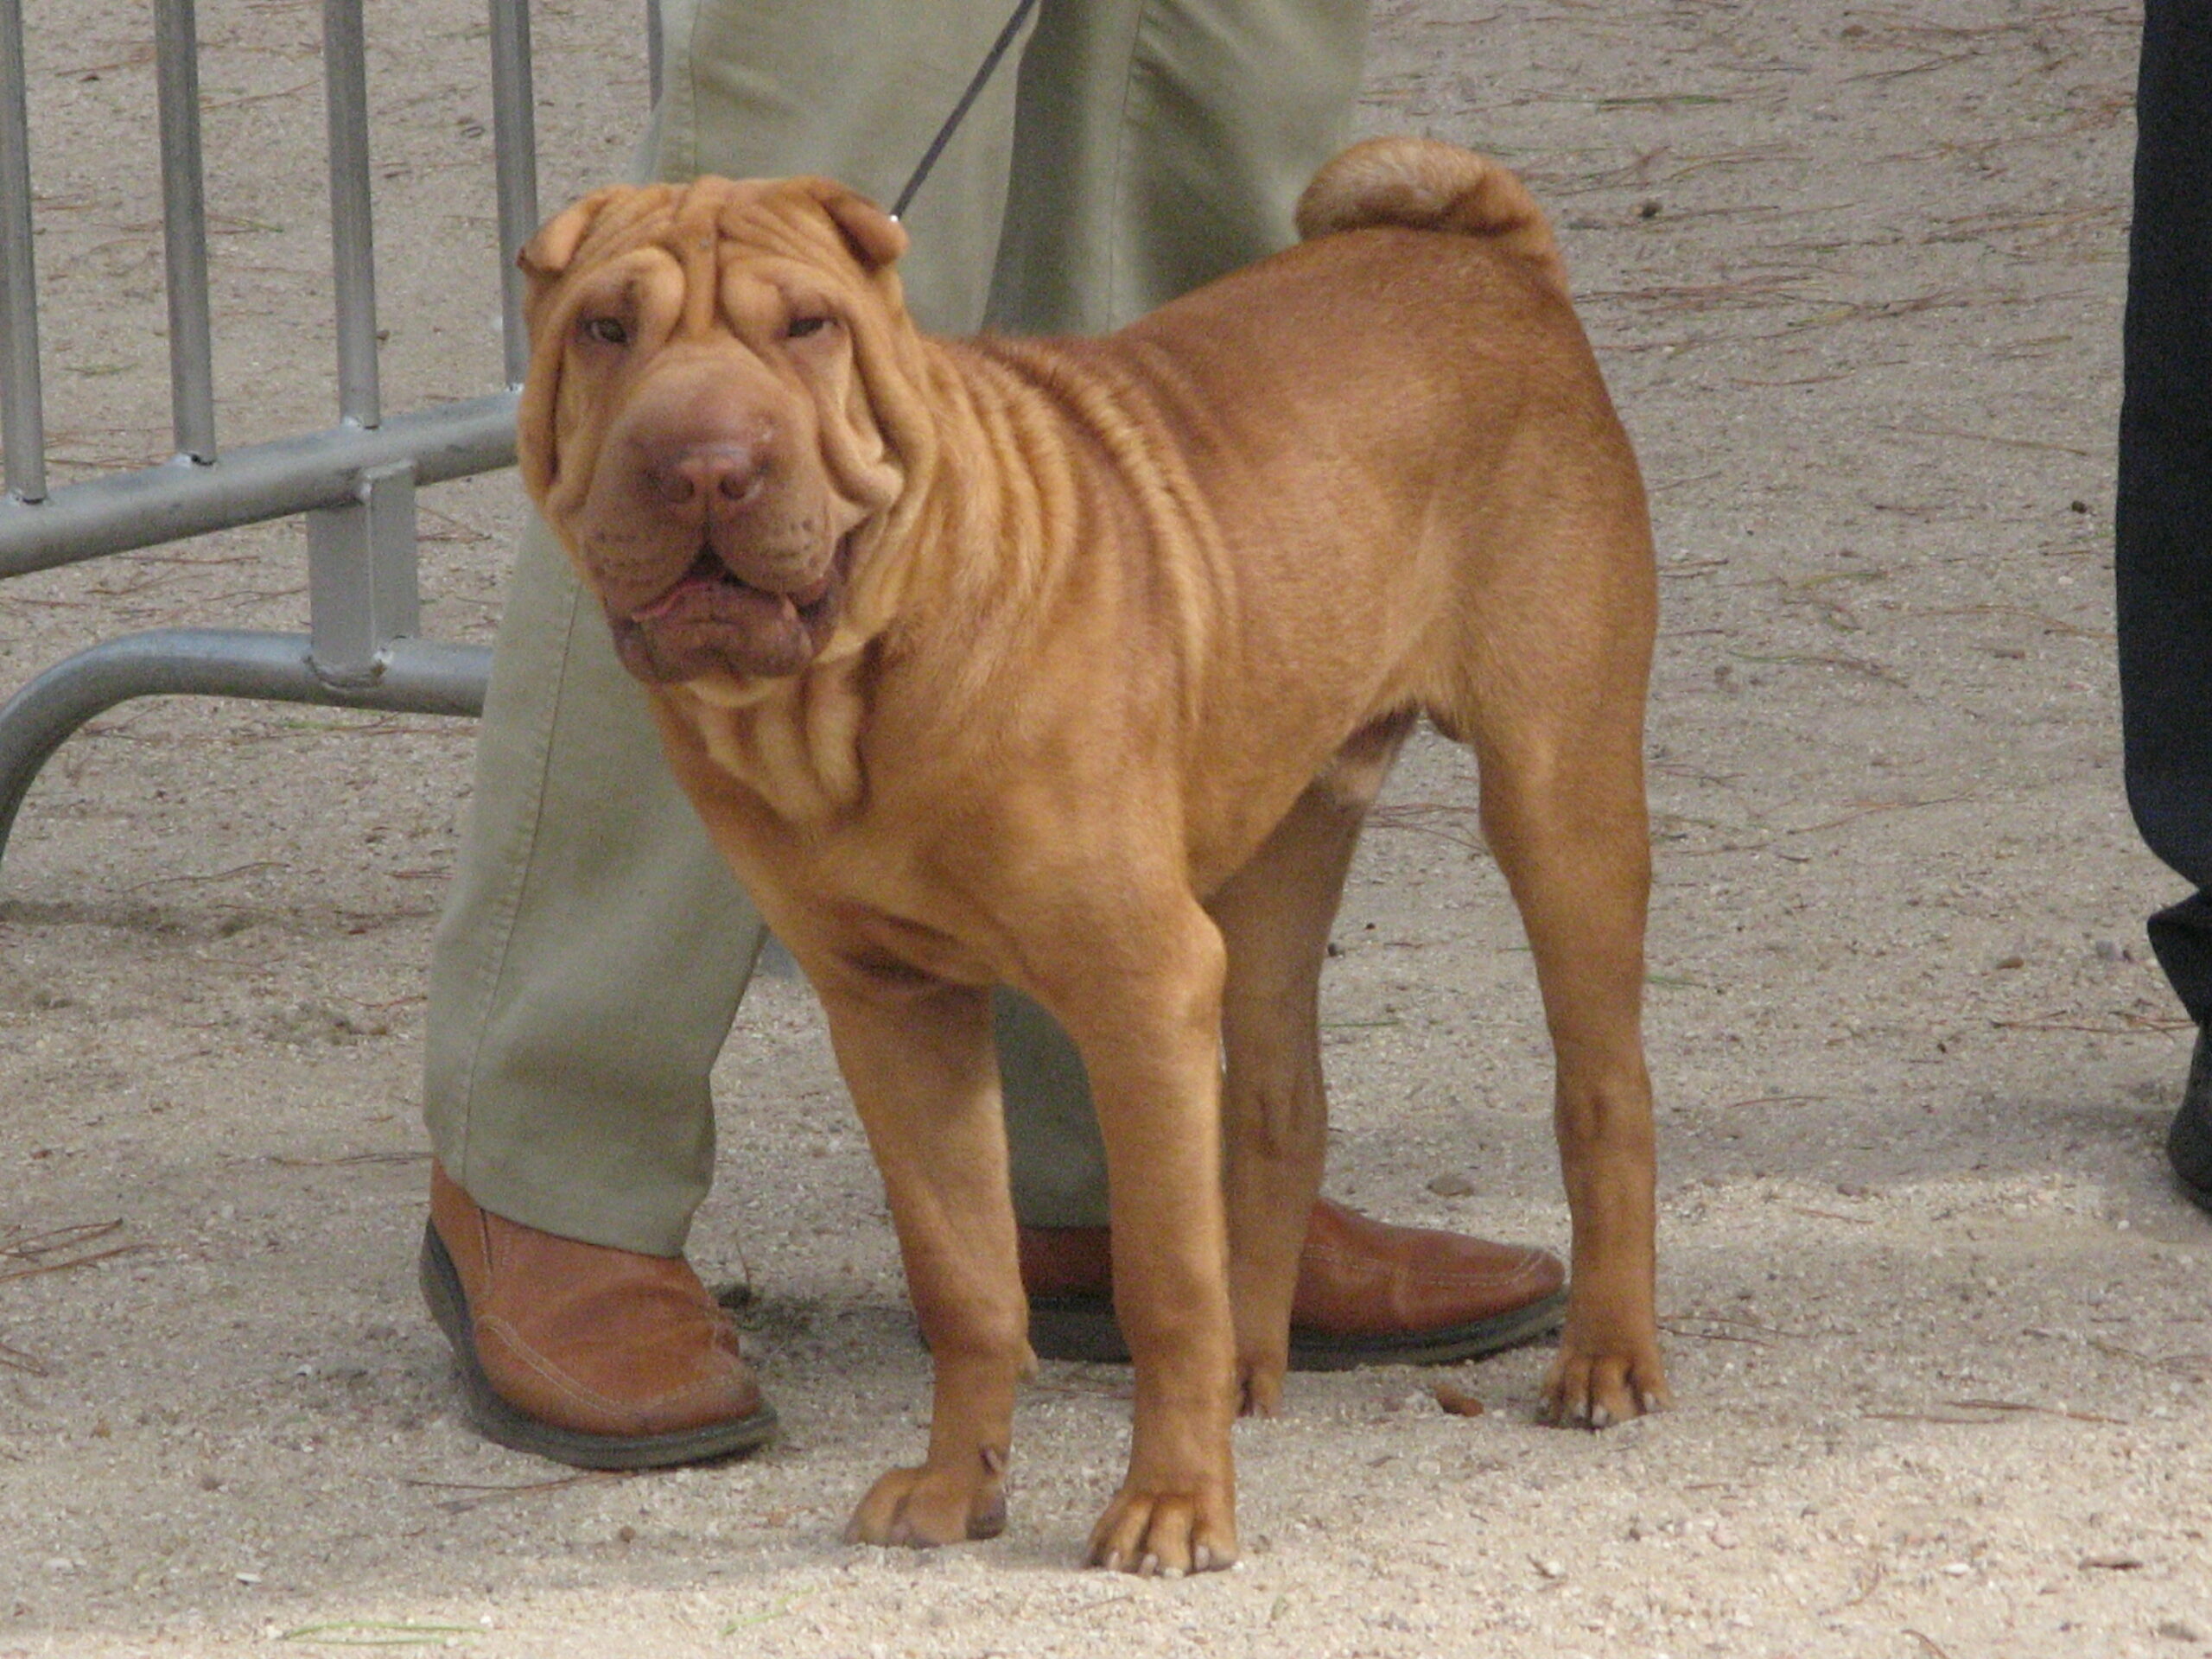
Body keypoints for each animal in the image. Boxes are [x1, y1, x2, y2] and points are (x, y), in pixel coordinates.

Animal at [512, 137, 1663, 1574]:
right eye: (604, 330)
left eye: (808, 327)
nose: (705, 463)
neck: (847, 701)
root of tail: (1493, 258)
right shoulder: (891, 1011)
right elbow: (965, 1277)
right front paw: (957, 1489)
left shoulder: (1138, 984)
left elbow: (1161, 1277)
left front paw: (1171, 1505)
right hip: (1278, 846)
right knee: (1277, 1104)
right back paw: (1255, 1365)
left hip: (1558, 794)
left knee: (1603, 1089)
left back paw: (1603, 1361)